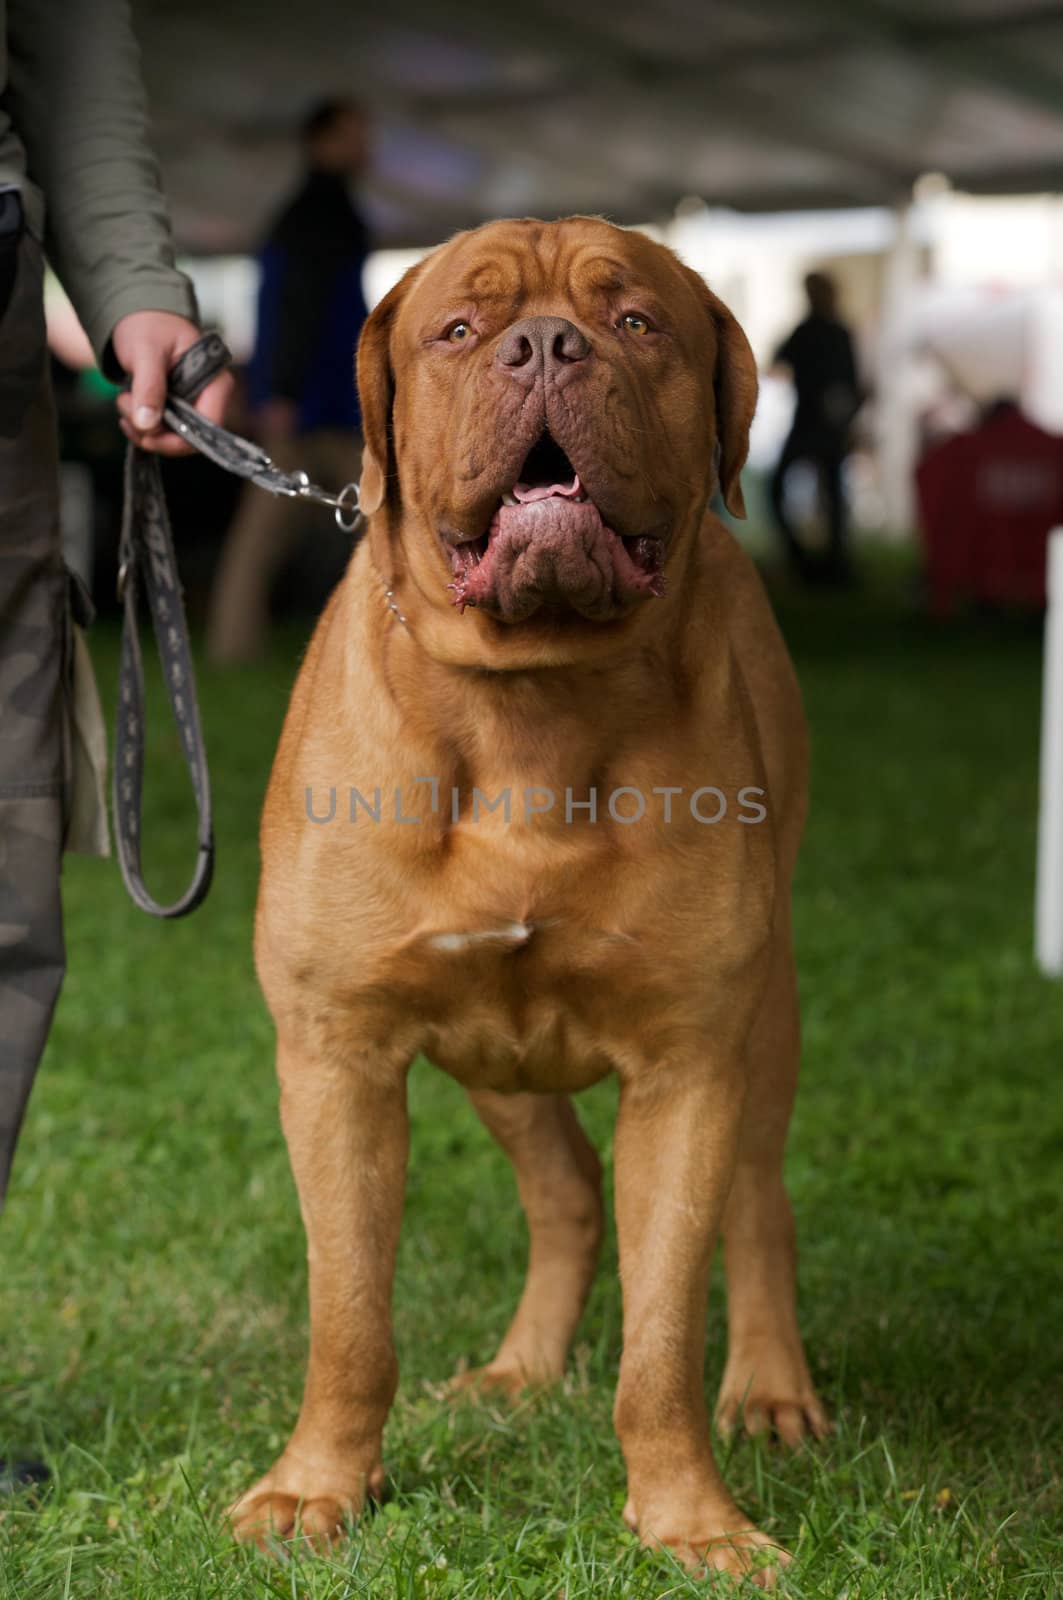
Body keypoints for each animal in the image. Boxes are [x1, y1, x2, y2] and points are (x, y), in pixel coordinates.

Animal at [230, 216, 832, 1587]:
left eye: (635, 322)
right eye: (459, 328)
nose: (547, 345)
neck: (531, 708)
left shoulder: (687, 1065)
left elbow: (661, 1341)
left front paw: (691, 1520)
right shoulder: (335, 1056)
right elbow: (349, 1314)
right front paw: (315, 1488)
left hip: (763, 1020)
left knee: (759, 1201)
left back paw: (770, 1389)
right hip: (492, 1053)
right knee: (562, 1187)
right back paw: (520, 1371)